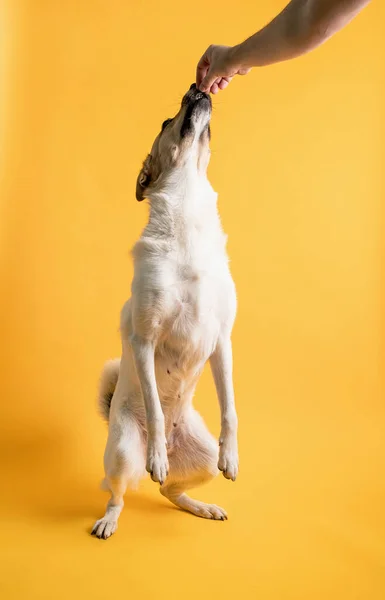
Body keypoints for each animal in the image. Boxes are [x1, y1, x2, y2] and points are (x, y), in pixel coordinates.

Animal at [92, 83, 238, 540]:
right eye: (164, 122)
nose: (196, 87)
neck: (187, 216)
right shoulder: (144, 338)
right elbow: (156, 408)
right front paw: (156, 453)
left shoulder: (222, 340)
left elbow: (230, 408)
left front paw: (233, 454)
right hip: (123, 452)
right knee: (120, 491)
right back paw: (111, 516)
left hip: (201, 458)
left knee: (170, 491)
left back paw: (201, 506)